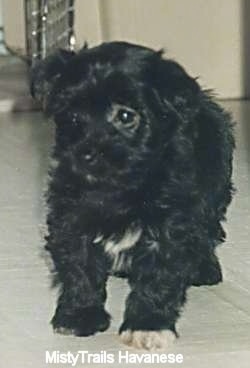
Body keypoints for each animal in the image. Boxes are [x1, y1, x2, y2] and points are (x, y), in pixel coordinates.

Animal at [30, 41, 234, 350]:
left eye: (126, 116)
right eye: (73, 117)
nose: (85, 154)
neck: (120, 187)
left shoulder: (170, 224)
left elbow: (159, 274)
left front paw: (148, 324)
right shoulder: (70, 214)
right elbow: (79, 263)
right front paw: (80, 315)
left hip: (215, 190)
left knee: (208, 230)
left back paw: (203, 267)